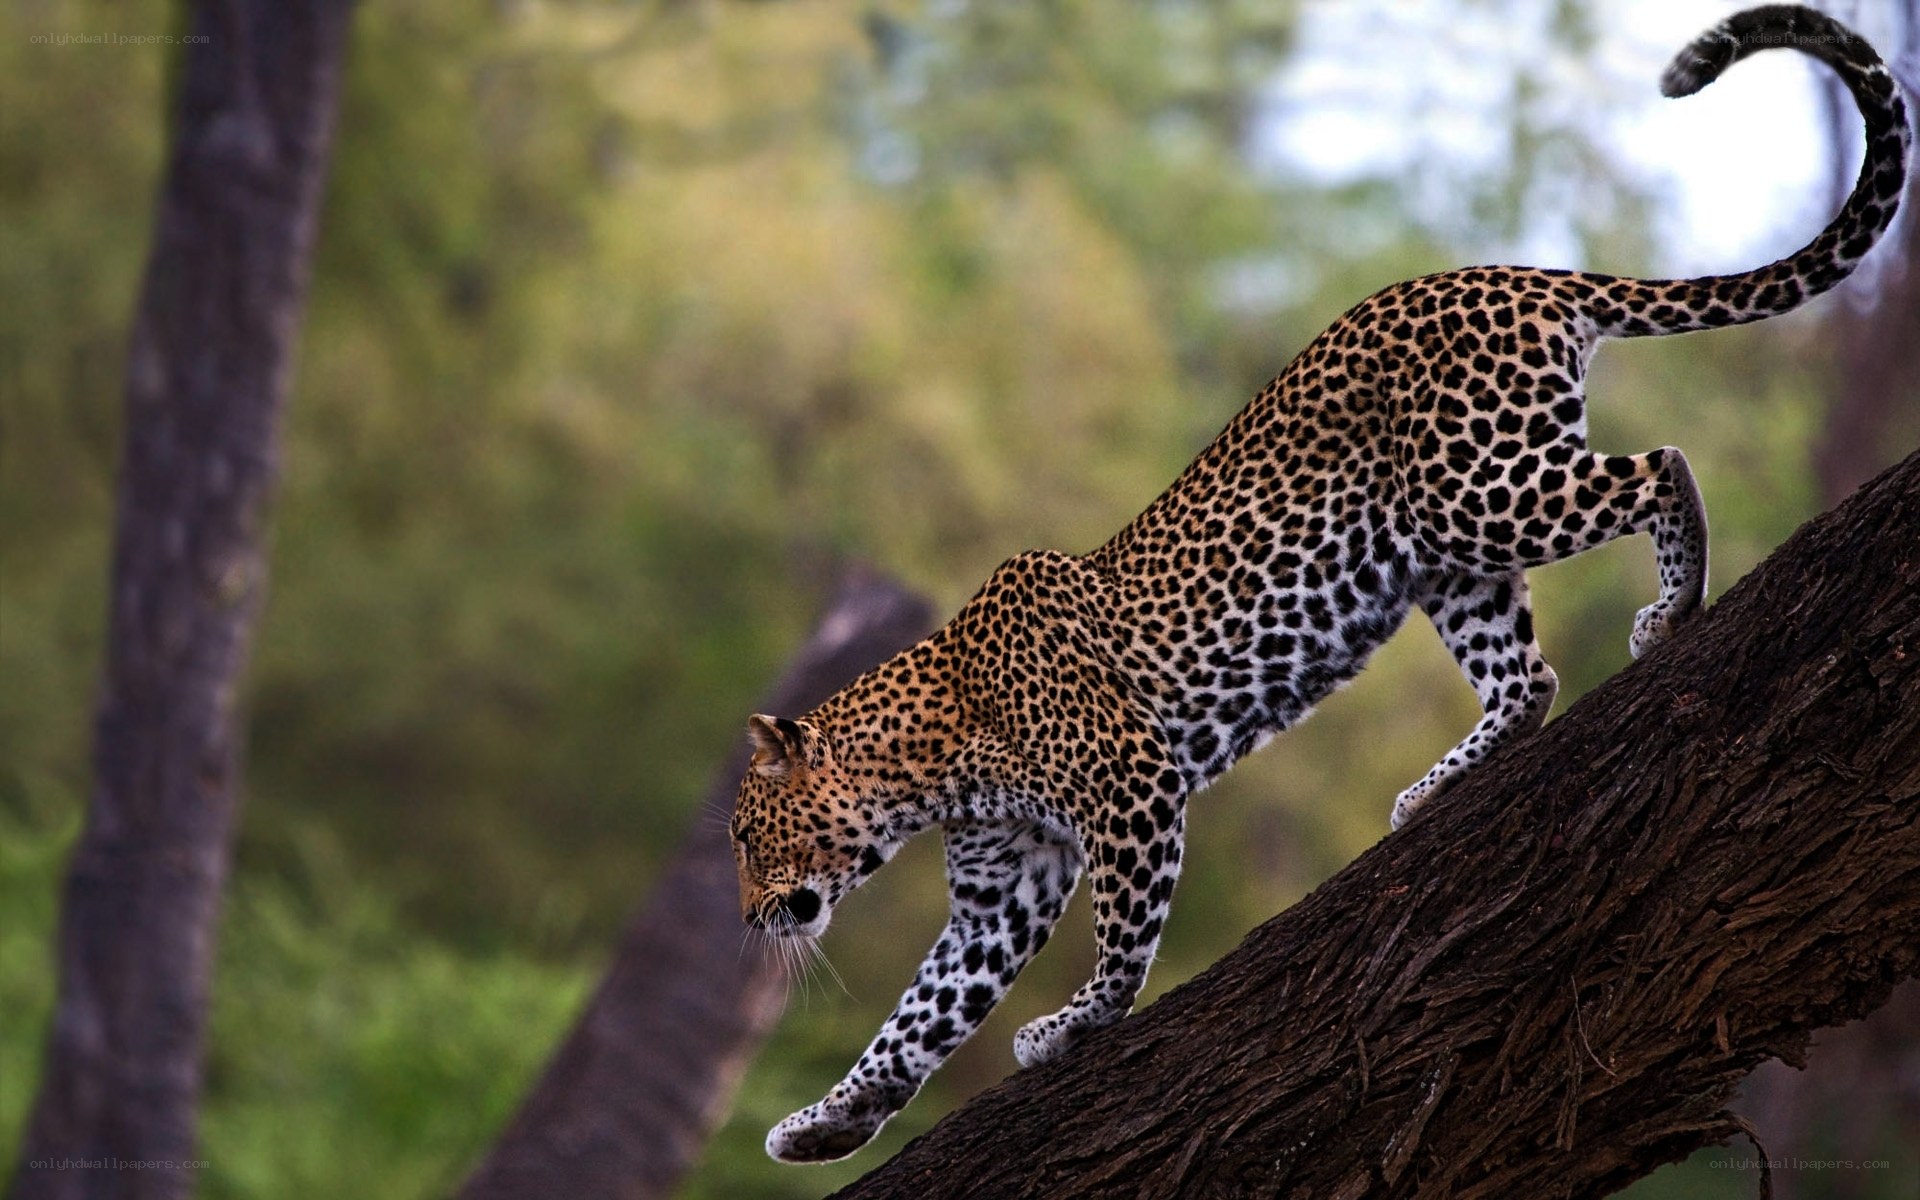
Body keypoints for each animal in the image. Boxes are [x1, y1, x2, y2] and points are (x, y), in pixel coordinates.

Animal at [728, 5, 1910, 1164]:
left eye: (743, 838)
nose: (746, 920)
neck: (927, 764)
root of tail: (1512, 273)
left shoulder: (1129, 785)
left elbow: (1121, 935)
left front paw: (1076, 1024)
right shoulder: (1002, 886)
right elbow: (921, 1012)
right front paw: (829, 1121)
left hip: (1480, 488)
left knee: (1661, 467)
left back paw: (1673, 608)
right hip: (1445, 557)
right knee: (1525, 678)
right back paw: (1440, 787)